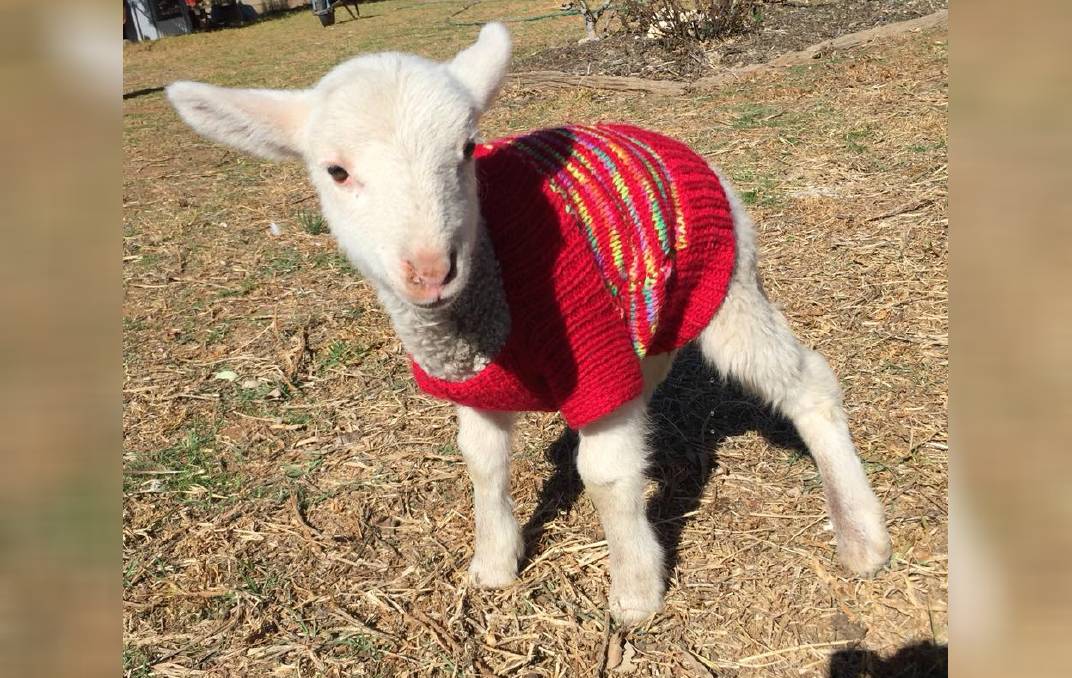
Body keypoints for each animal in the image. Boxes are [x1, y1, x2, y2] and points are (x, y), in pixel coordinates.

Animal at [166, 22, 891, 626]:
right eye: (336, 171)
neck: (478, 309)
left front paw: (634, 593)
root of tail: (667, 140)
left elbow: (604, 473)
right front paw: (493, 563)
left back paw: (862, 536)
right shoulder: (472, 382)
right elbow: (481, 459)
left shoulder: (595, 360)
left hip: (730, 281)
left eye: (465, 149)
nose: (430, 270)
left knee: (807, 383)